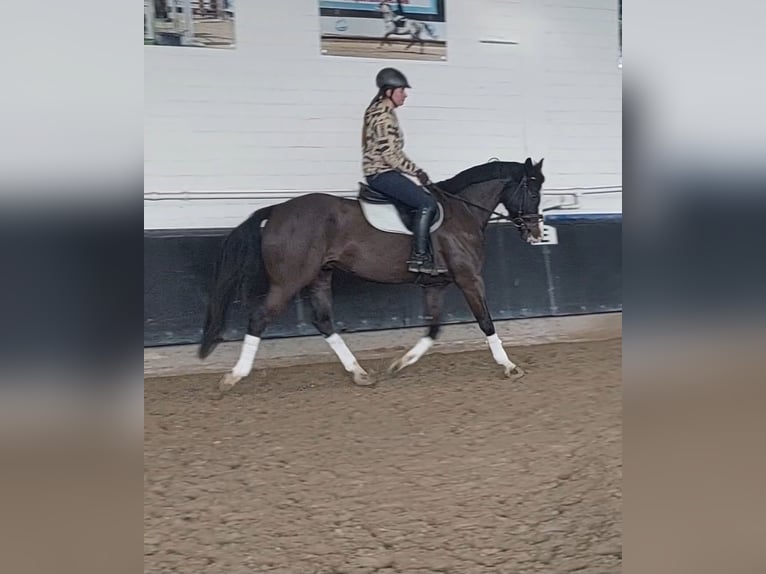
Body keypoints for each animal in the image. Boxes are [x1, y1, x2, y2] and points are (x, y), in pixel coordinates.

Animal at [198, 158, 544, 394]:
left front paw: (400, 364)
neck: (462, 212)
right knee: (259, 318)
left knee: (323, 320)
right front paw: (509, 366)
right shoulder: (469, 278)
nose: (535, 233)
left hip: (320, 275)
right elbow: (485, 321)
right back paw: (233, 377)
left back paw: (359, 373)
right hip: (289, 280)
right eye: (533, 191)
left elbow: (433, 329)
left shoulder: (436, 285)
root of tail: (278, 210)